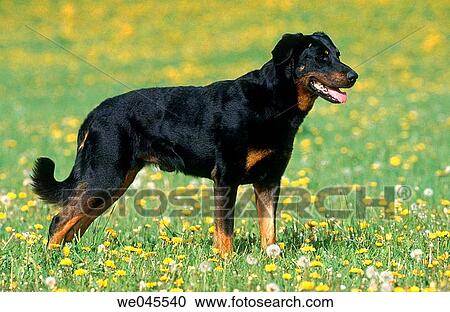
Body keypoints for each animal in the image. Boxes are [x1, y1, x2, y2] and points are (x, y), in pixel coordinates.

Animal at [31, 31, 356, 258]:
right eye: (321, 57)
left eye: (337, 54)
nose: (354, 75)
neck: (272, 101)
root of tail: (94, 114)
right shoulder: (226, 178)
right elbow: (225, 231)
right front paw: (226, 263)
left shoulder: (269, 180)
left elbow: (269, 230)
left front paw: (270, 260)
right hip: (105, 176)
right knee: (60, 220)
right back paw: (51, 261)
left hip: (113, 183)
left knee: (75, 224)